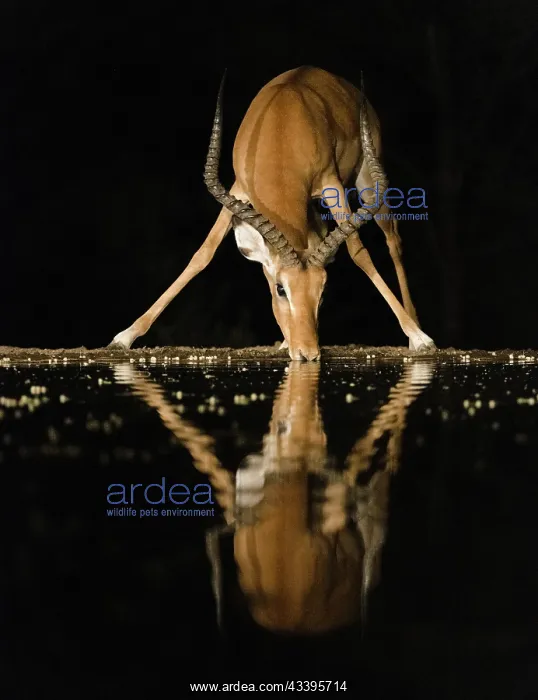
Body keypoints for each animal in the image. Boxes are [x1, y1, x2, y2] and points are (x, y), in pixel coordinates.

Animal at [110, 66, 435, 361]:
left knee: (393, 242)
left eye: (323, 291)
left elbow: (359, 252)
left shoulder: (331, 184)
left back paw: (415, 331)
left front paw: (421, 339)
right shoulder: (238, 189)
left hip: (368, 183)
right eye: (281, 289)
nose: (308, 353)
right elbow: (203, 254)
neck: (283, 128)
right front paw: (124, 337)